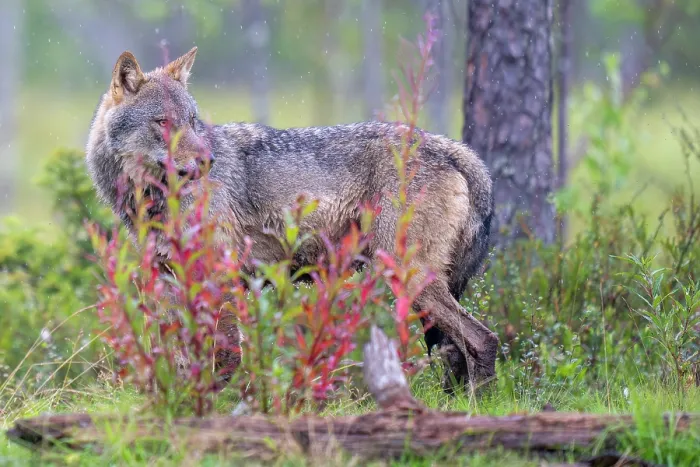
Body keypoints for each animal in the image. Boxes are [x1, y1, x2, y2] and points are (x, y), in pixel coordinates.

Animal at [85, 47, 499, 392]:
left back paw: (478, 408)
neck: (151, 201)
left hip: (408, 277)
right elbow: (183, 359)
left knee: (483, 339)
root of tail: (456, 149)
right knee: (457, 349)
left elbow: (225, 357)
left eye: (191, 121)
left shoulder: (223, 274)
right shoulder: (171, 280)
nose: (207, 162)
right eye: (163, 122)